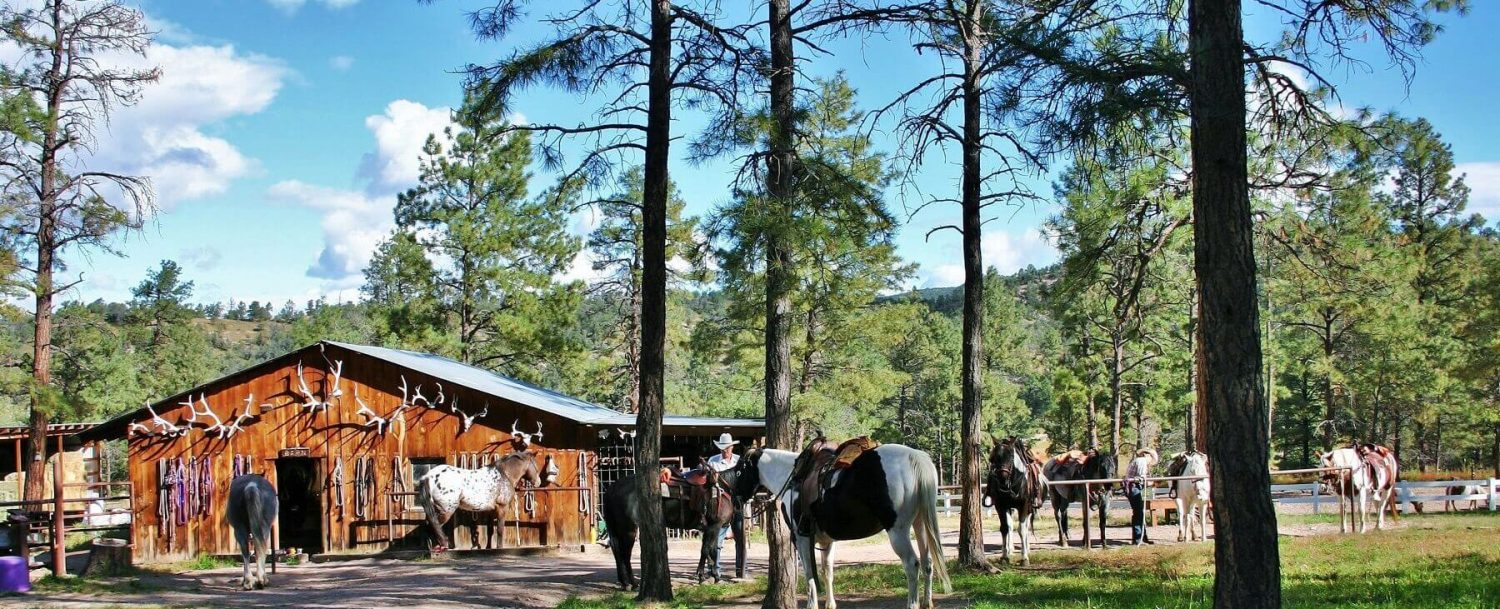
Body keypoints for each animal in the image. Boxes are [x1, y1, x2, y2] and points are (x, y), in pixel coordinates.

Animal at [597, 465, 738, 588]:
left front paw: (709, 576)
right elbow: (708, 550)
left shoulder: (711, 528)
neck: (722, 490)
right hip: (628, 529)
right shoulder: (715, 526)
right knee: (625, 554)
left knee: (616, 550)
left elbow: (709, 550)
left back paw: (624, 582)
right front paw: (707, 576)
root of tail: (612, 489)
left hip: (617, 528)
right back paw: (632, 583)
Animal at [735, 441, 948, 609]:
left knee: (912, 565)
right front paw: (830, 604)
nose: (737, 500)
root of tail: (914, 457)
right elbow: (827, 571)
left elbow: (810, 575)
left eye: (738, 470)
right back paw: (927, 602)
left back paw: (912, 603)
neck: (793, 478)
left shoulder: (801, 537)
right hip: (920, 524)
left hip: (898, 531)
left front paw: (812, 605)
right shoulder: (827, 540)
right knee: (927, 562)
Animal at [984, 435, 1044, 564]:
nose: (1002, 477)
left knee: (1026, 526)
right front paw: (1004, 556)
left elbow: (1022, 530)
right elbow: (1004, 528)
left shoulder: (1024, 505)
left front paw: (1024, 558)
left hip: (1029, 508)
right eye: (994, 458)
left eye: (1011, 456)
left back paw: (1026, 549)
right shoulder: (1001, 506)